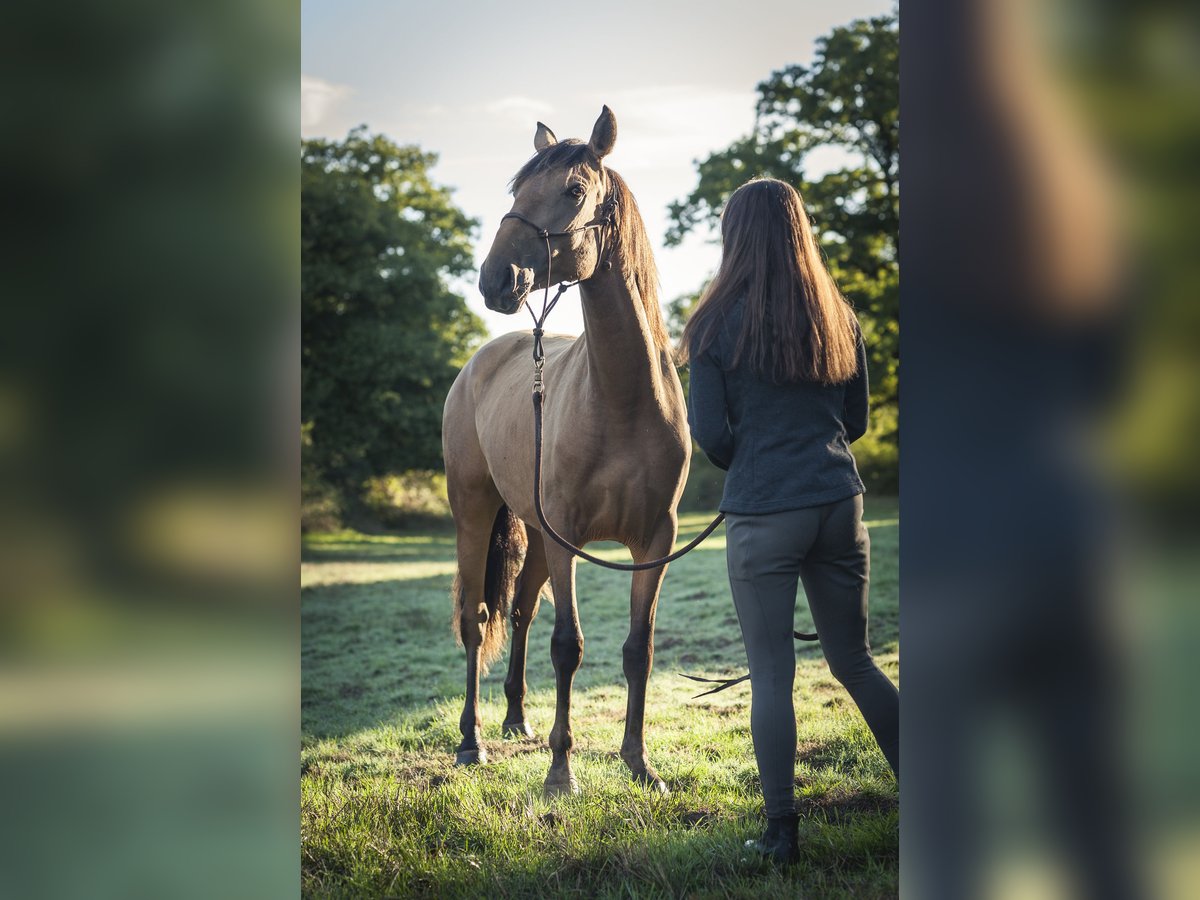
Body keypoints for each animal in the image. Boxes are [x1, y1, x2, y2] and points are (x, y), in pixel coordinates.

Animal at [442, 106, 690, 796]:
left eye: (575, 190)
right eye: (517, 188)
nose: (495, 279)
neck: (624, 398)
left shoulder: (655, 540)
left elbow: (638, 648)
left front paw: (639, 763)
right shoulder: (568, 536)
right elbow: (569, 646)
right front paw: (561, 773)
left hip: (531, 530)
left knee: (521, 612)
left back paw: (515, 720)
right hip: (476, 514)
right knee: (477, 619)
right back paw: (472, 741)